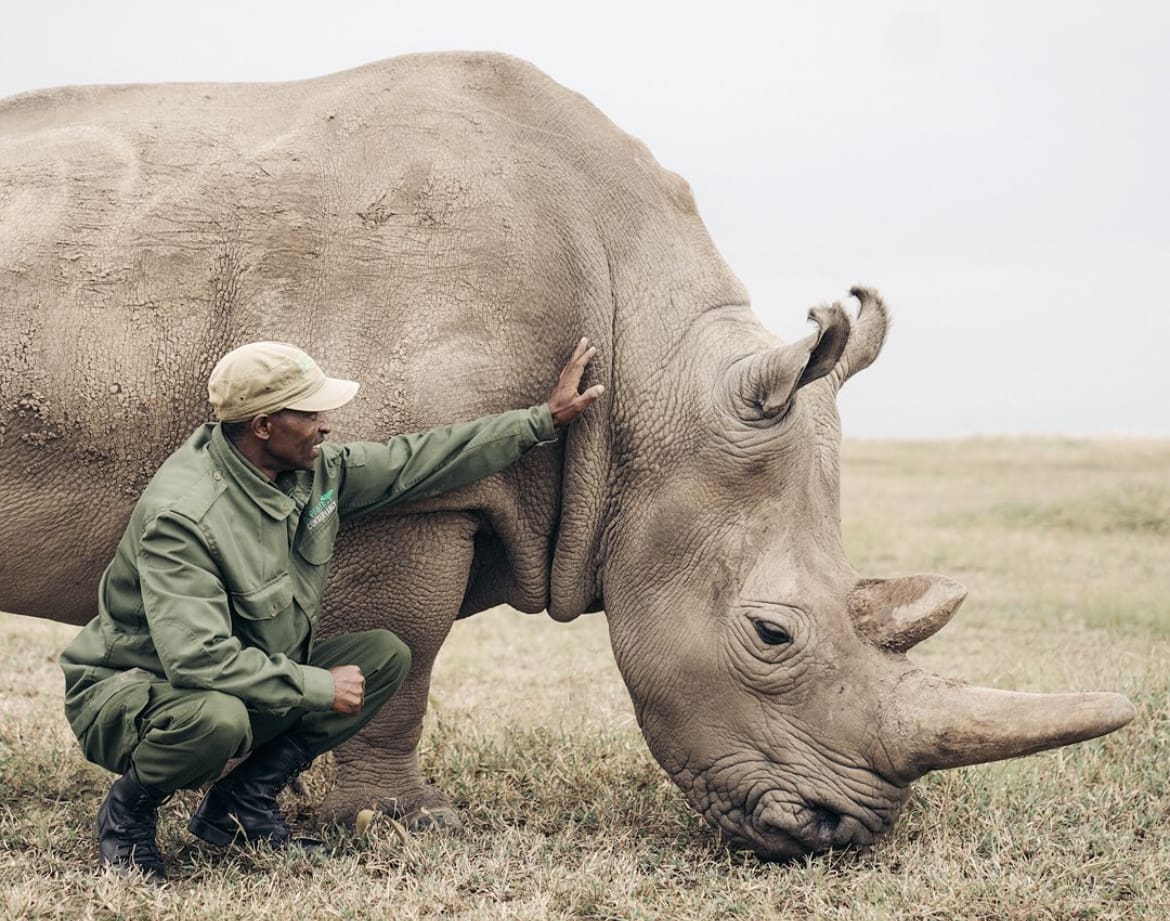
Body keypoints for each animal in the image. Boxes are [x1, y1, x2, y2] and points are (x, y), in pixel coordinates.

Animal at [0, 50, 1132, 856]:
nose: (843, 832)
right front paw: (397, 825)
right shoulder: (413, 501)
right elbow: (403, 652)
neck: (651, 370)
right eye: (770, 634)